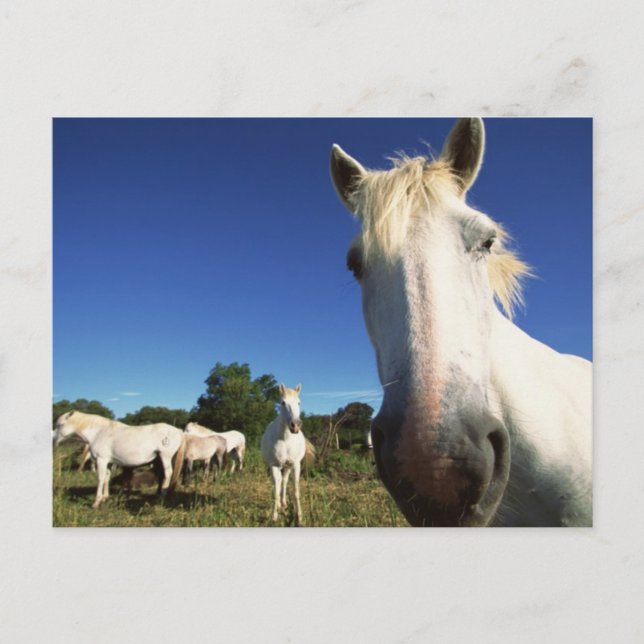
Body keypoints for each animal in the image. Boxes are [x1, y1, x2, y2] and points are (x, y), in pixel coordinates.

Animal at [53, 410, 187, 508]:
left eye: (60, 425)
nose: (53, 440)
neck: (99, 432)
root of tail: (179, 431)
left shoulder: (101, 460)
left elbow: (100, 479)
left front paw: (96, 502)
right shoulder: (108, 462)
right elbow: (106, 478)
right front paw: (105, 497)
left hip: (165, 457)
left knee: (167, 474)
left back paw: (162, 496)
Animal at [261, 383, 310, 525]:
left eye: (299, 402)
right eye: (283, 402)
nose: (295, 425)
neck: (285, 439)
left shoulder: (295, 465)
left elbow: (296, 491)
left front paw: (299, 518)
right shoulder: (274, 466)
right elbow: (275, 490)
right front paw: (274, 516)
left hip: (287, 467)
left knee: (284, 481)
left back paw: (284, 503)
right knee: (277, 483)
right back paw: (279, 505)